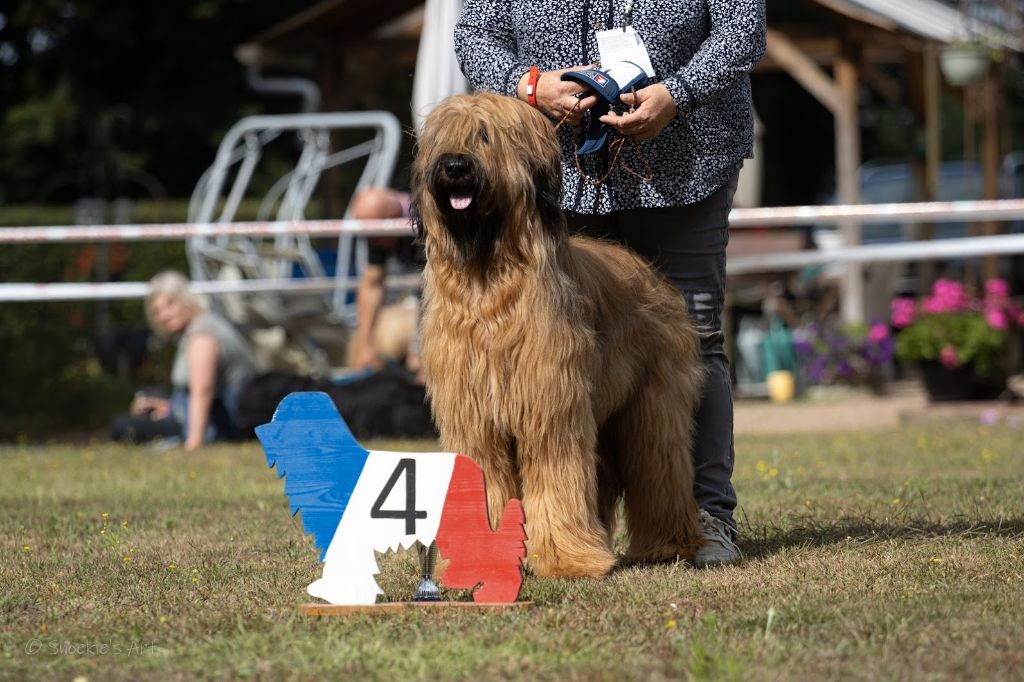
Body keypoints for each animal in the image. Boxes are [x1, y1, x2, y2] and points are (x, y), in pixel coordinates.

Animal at [411, 90, 708, 577]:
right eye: (443, 140)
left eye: (484, 136)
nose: (454, 166)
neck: (487, 280)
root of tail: (649, 271)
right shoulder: (475, 420)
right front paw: (485, 559)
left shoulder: (550, 406)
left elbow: (556, 475)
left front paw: (566, 559)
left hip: (651, 407)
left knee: (659, 467)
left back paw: (670, 544)